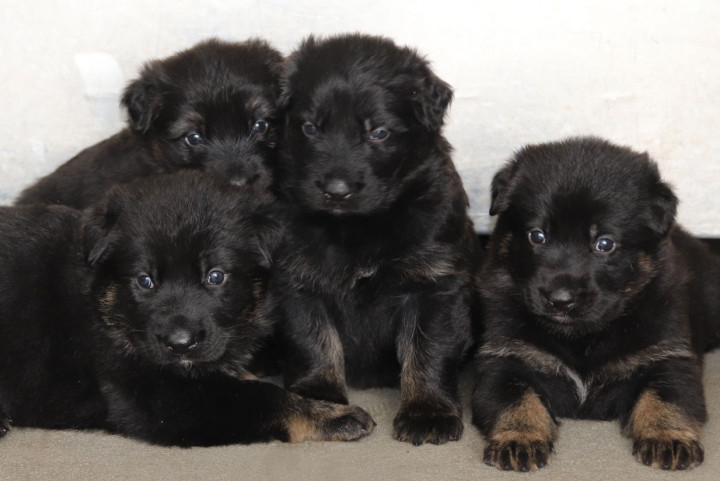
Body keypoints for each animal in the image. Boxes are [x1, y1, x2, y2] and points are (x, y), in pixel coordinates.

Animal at [0, 171, 374, 444]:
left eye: (215, 276)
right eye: (145, 281)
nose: (180, 344)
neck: (100, 303)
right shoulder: (161, 396)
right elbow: (264, 397)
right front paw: (333, 415)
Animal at [268, 33, 478, 444]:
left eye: (378, 132)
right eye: (310, 128)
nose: (336, 191)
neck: (358, 228)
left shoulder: (434, 286)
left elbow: (428, 349)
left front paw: (428, 412)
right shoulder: (298, 282)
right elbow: (313, 341)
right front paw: (319, 399)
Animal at [472, 137, 720, 470]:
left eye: (604, 243)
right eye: (537, 236)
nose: (560, 300)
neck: (583, 337)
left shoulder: (669, 356)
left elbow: (667, 397)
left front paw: (669, 437)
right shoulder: (505, 357)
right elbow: (514, 398)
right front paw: (519, 438)